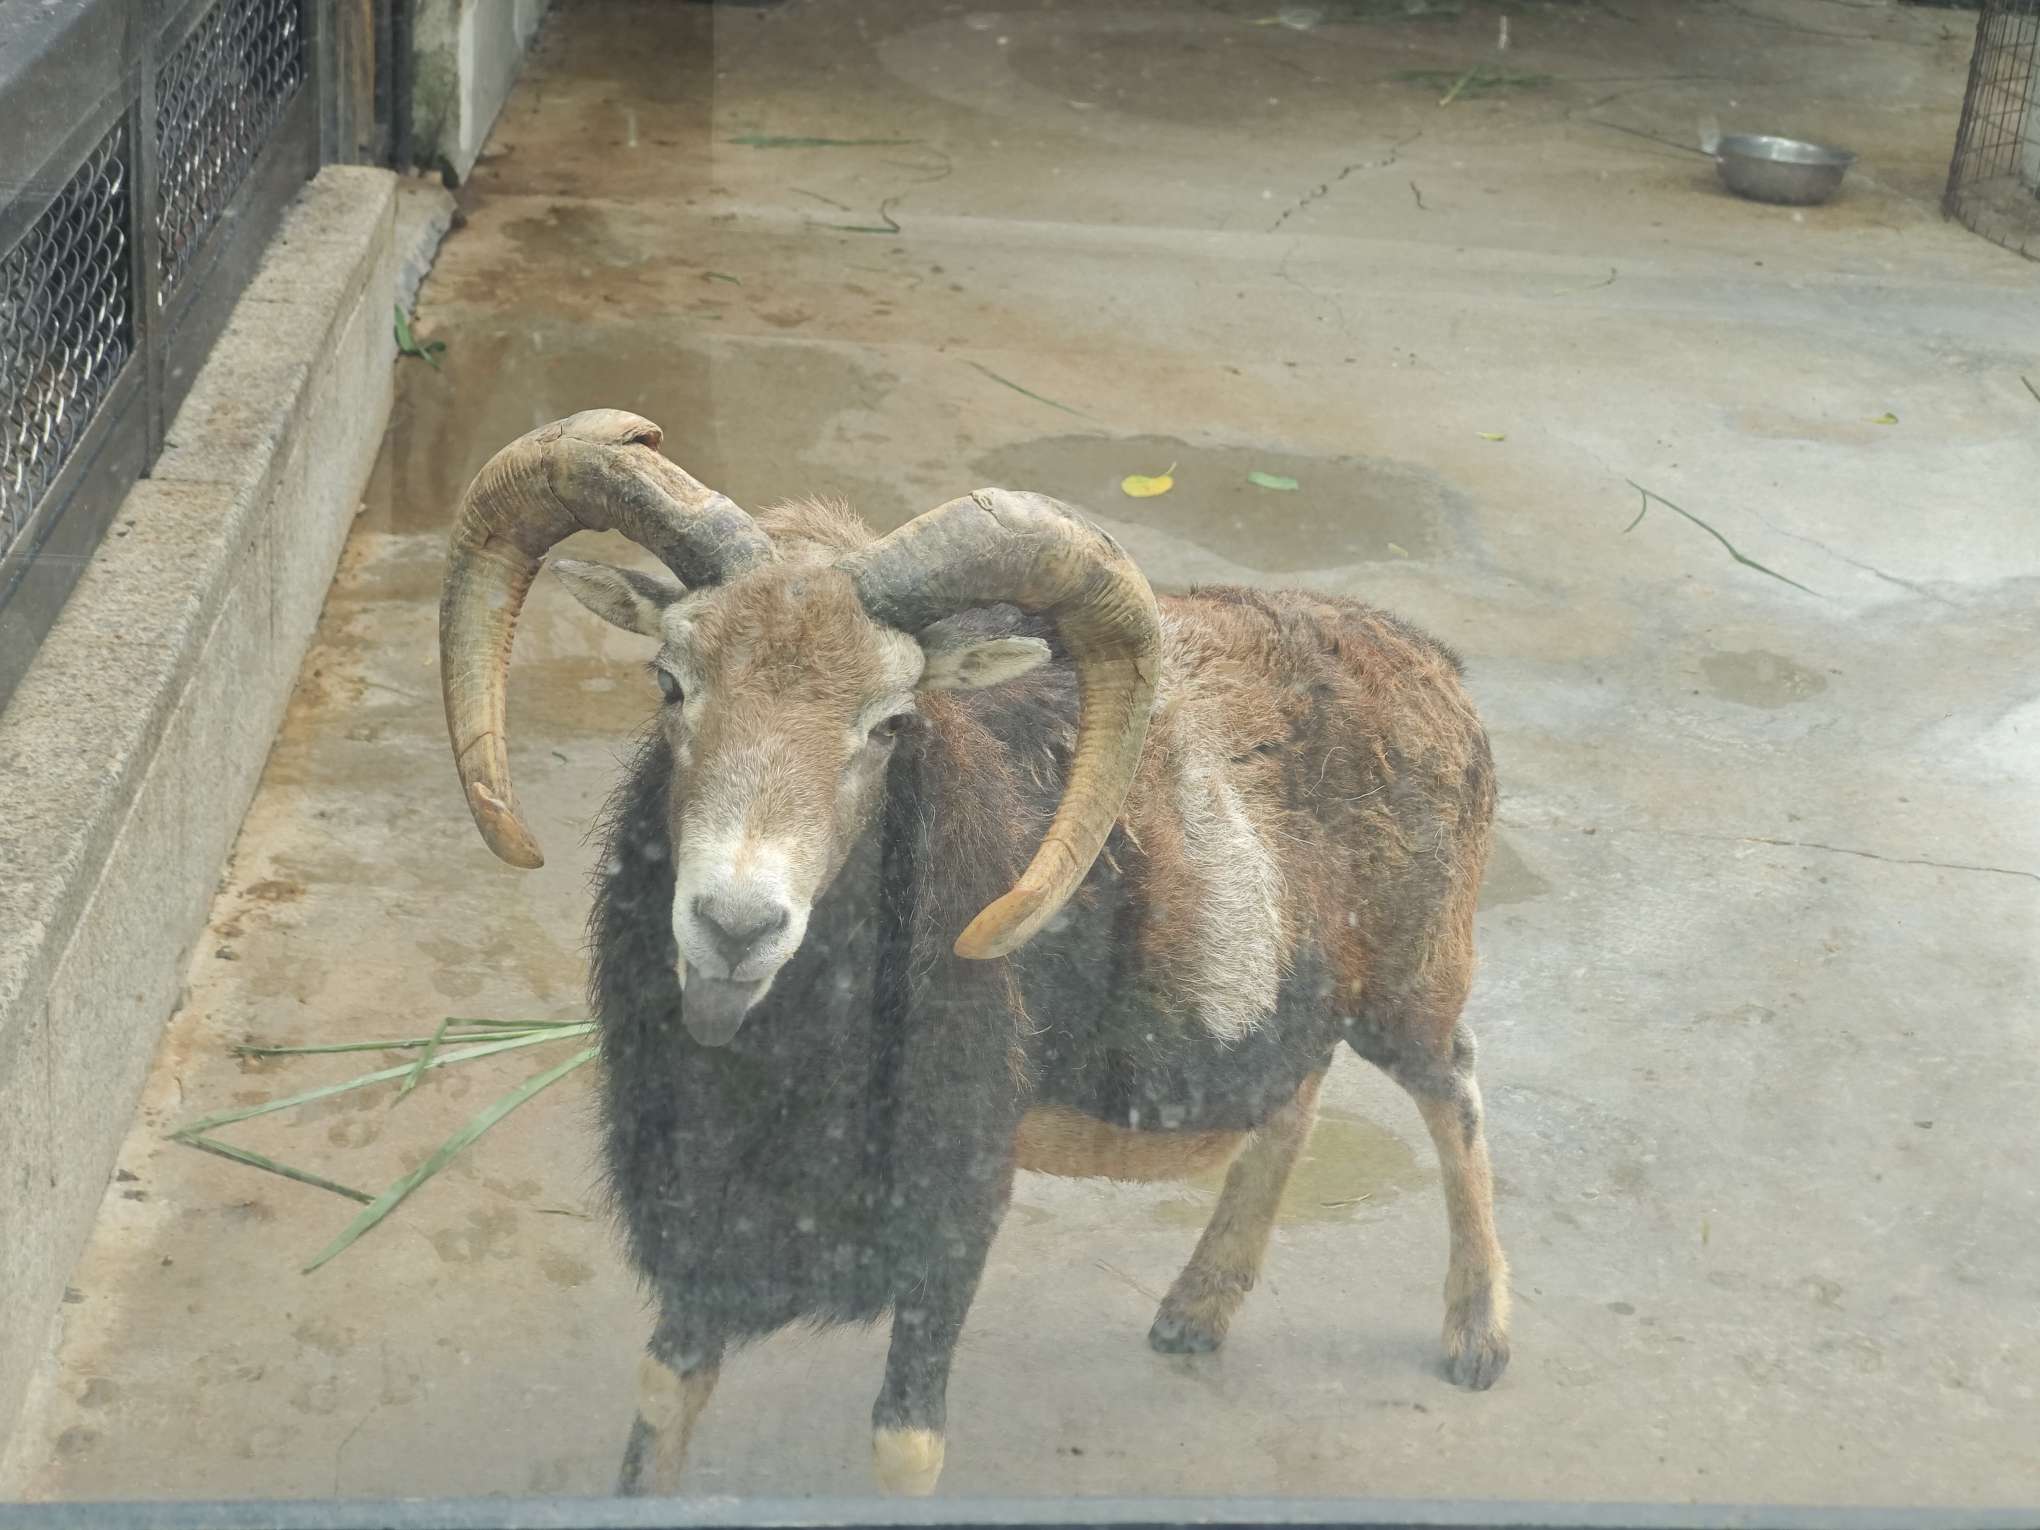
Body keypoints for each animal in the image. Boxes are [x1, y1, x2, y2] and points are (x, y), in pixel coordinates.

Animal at [437, 410, 1510, 1497]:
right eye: (669, 683)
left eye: (889, 724)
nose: (736, 926)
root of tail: (1433, 668)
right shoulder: (703, 1222)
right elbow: (662, 1401)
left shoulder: (951, 1211)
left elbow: (906, 1444)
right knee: (1295, 1103)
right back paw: (1195, 1312)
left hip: (1412, 985)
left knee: (1452, 1087)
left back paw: (1477, 1340)